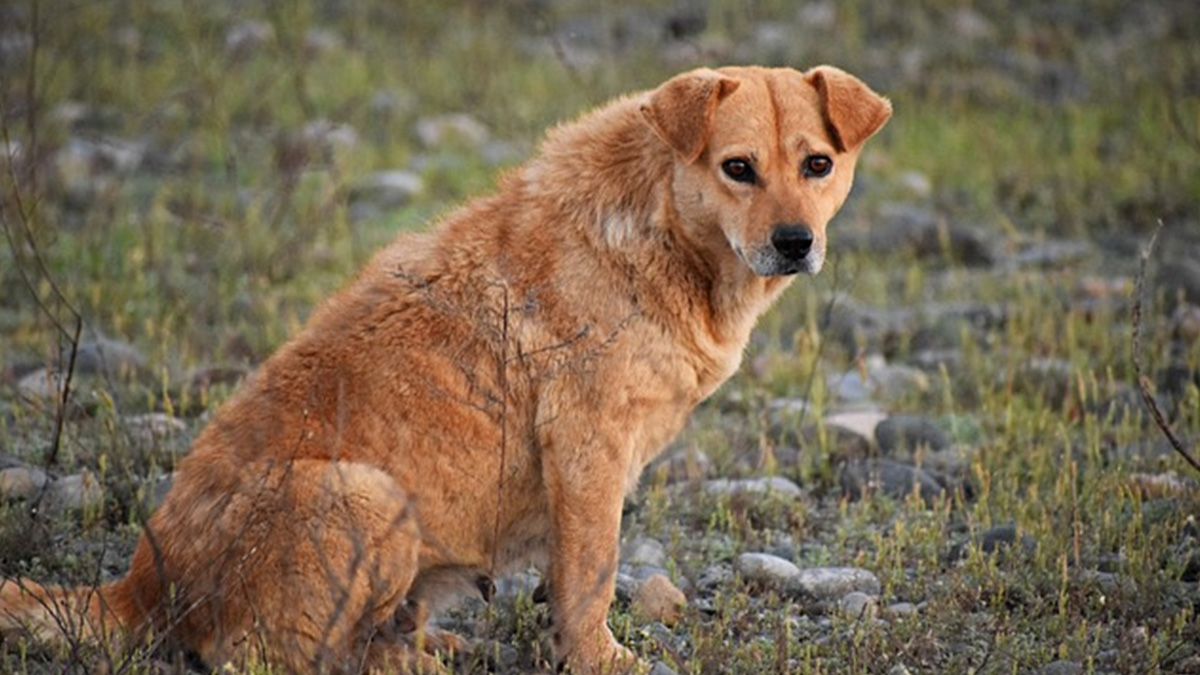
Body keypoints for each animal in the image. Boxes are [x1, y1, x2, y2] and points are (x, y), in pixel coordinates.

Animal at [2, 64, 892, 672]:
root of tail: (137, 586)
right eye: (738, 167)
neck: (665, 232)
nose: (795, 242)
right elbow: (592, 577)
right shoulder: (588, 446)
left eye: (817, 164)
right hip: (368, 496)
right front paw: (602, 660)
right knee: (275, 656)